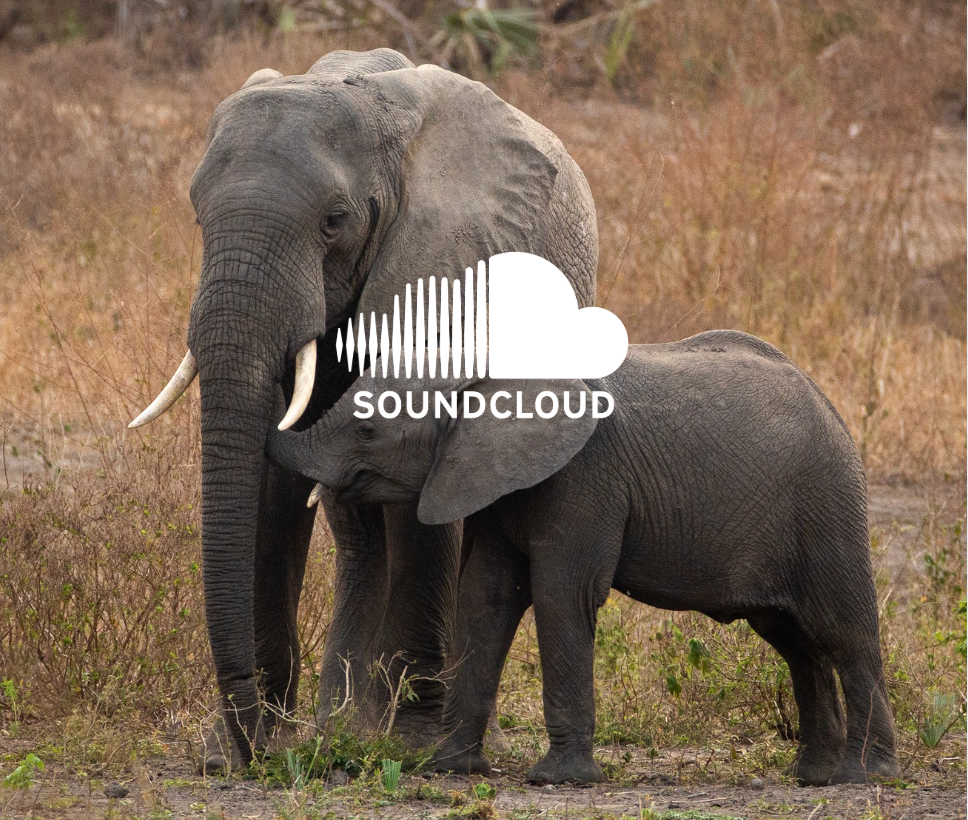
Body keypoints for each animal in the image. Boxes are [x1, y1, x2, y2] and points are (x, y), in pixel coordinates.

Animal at [127, 48, 598, 770]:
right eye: (198, 216)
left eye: (334, 221)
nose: (252, 744)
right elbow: (270, 489)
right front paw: (238, 750)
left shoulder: (444, 265)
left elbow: (415, 488)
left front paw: (409, 744)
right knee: (358, 533)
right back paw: (341, 724)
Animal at [264, 329, 900, 786]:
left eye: (368, 429)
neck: (489, 359)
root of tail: (831, 407)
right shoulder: (492, 478)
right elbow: (486, 596)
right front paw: (449, 769)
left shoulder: (583, 477)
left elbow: (560, 595)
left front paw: (559, 780)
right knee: (795, 642)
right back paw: (812, 778)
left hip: (826, 505)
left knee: (843, 636)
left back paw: (863, 778)